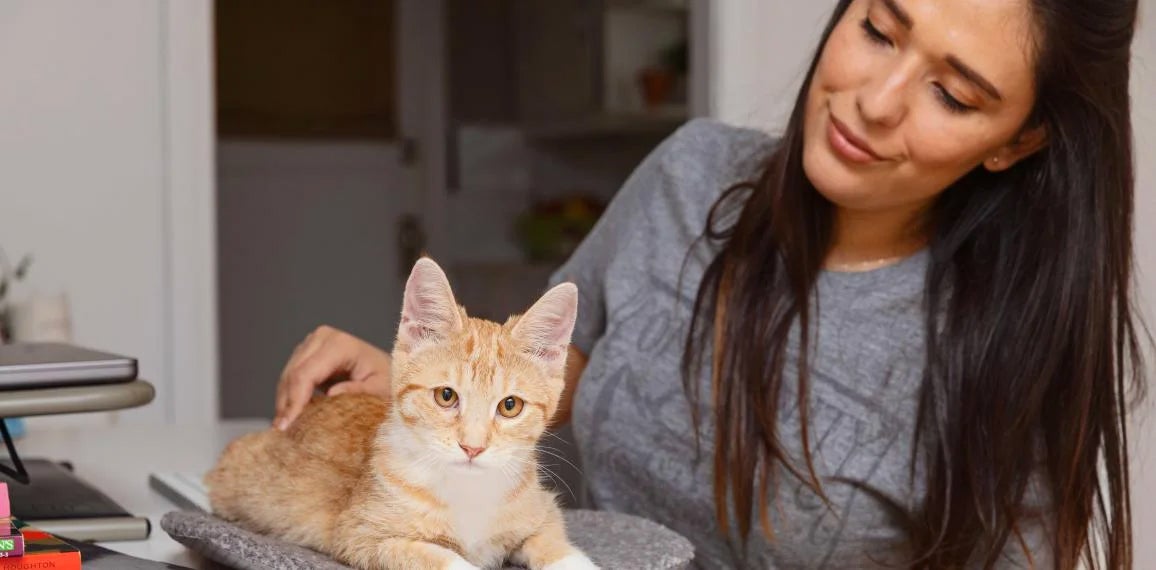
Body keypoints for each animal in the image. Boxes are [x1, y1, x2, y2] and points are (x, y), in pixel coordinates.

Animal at [205, 257, 596, 568]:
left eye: (510, 406)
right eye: (446, 396)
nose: (472, 448)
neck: (467, 489)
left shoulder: (542, 511)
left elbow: (558, 547)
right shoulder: (361, 535)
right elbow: (440, 557)